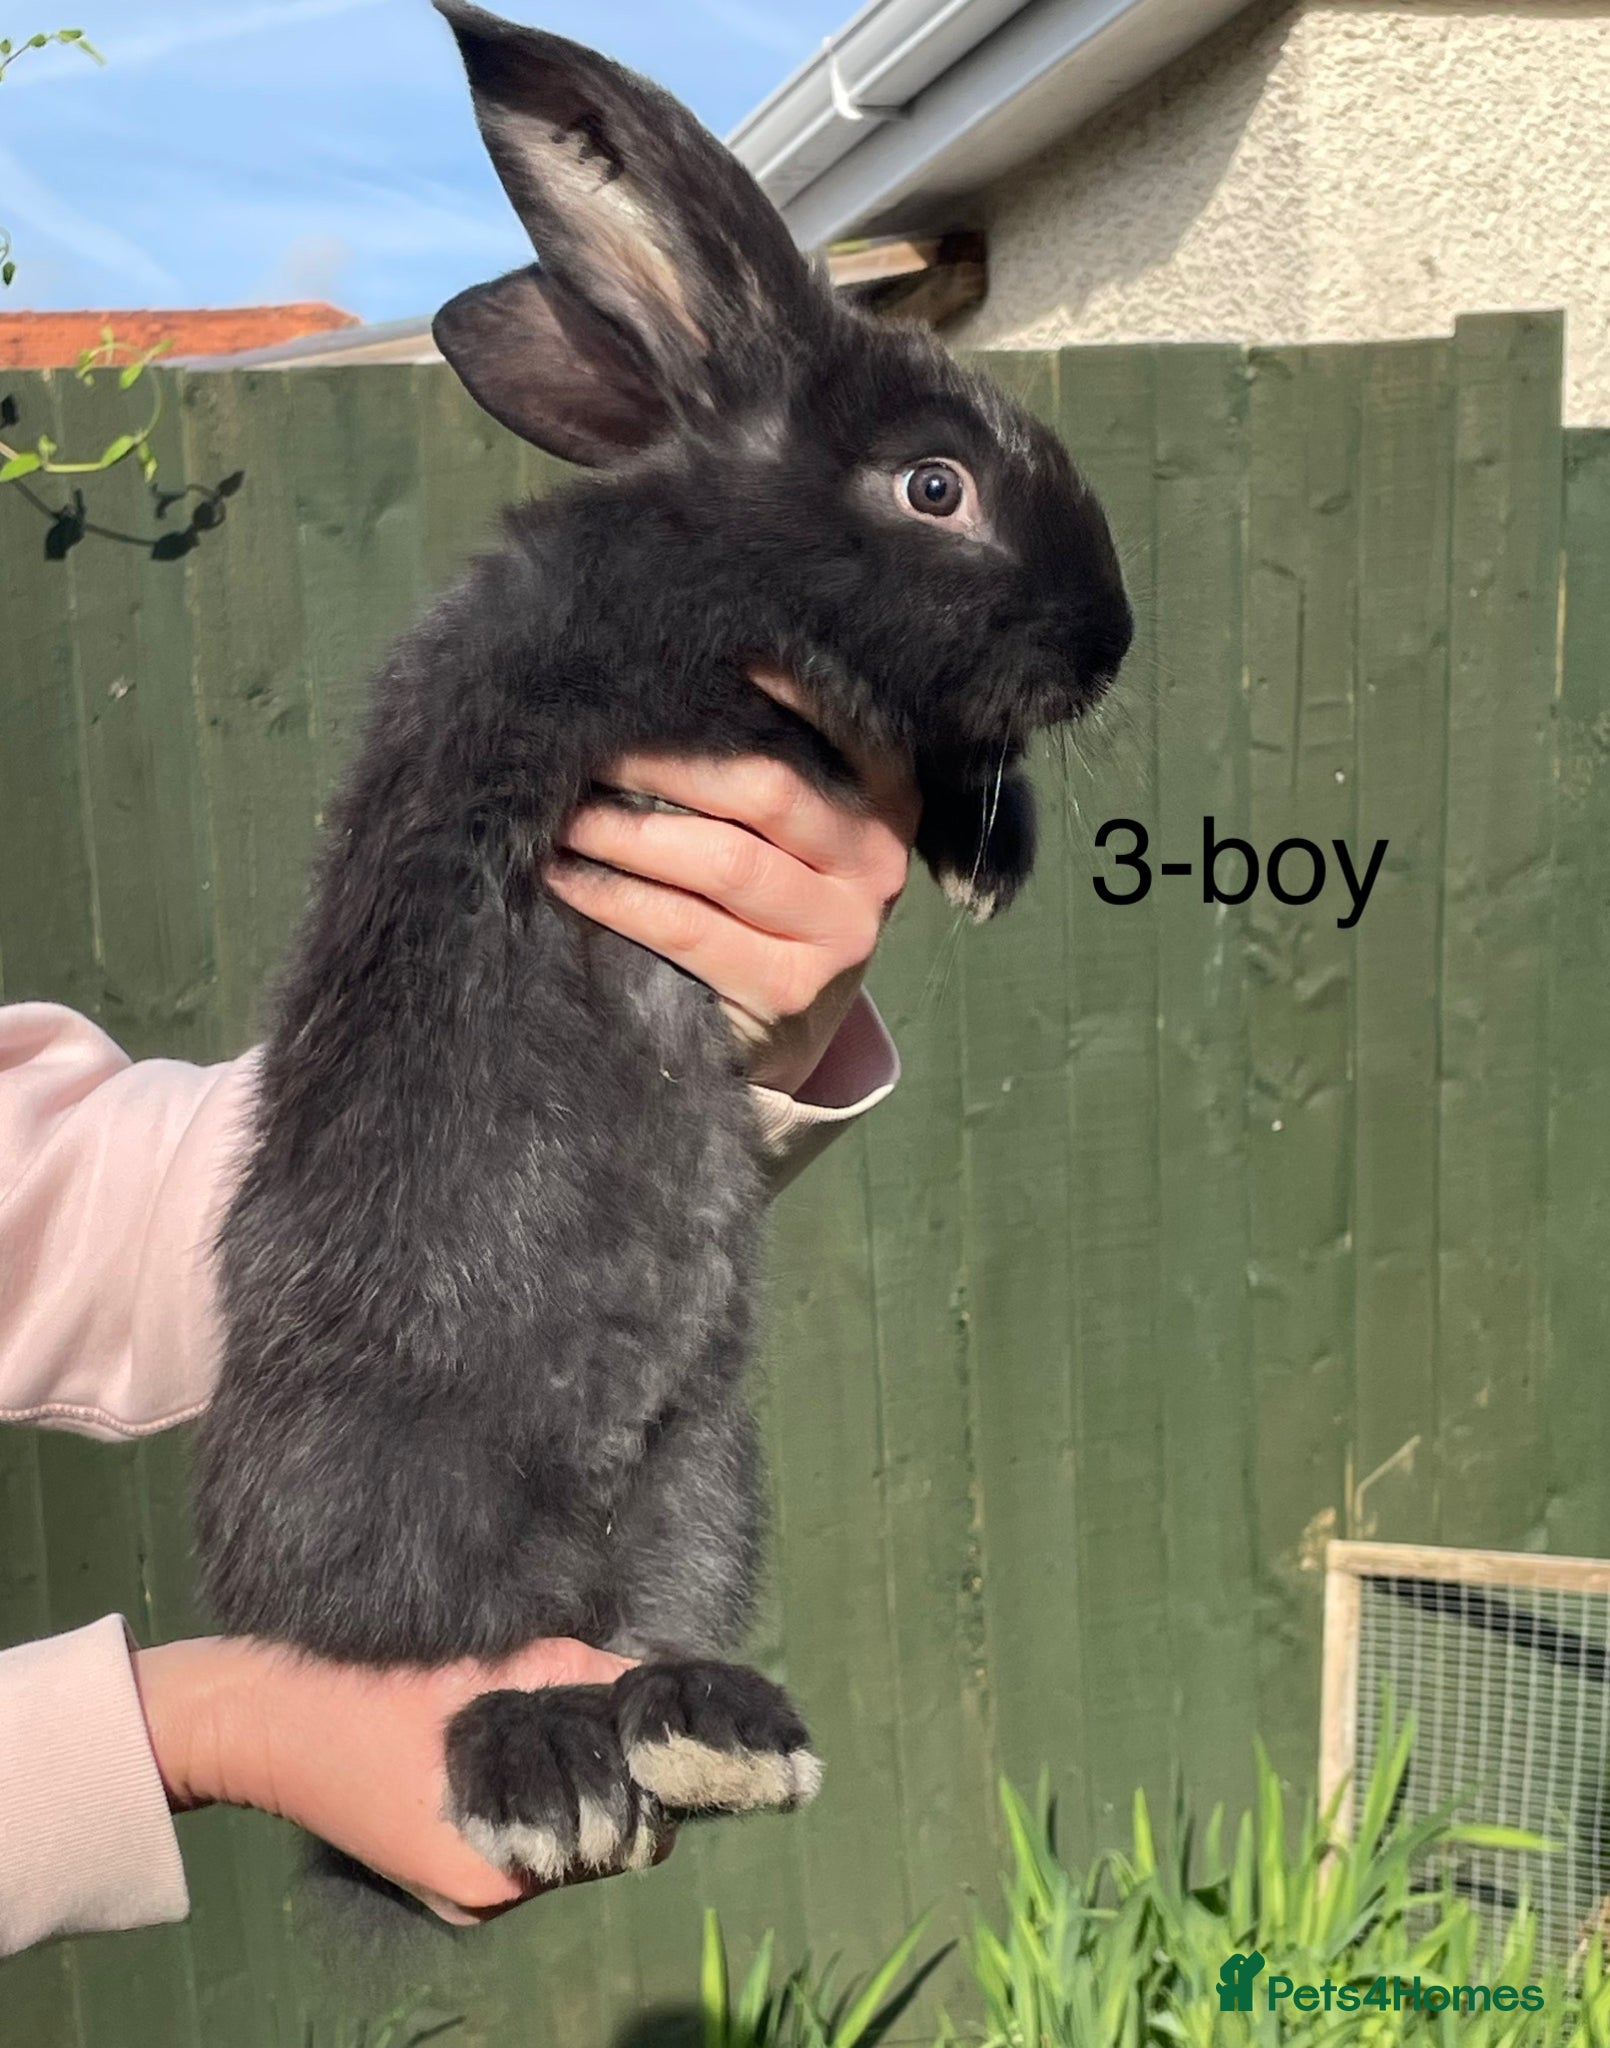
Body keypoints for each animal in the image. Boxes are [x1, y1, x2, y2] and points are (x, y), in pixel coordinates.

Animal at [194, 0, 1133, 1896]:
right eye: (935, 484)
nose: (1111, 638)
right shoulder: (676, 670)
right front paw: (982, 821)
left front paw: (991, 849)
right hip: (413, 1480)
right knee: (440, 1657)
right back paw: (540, 1775)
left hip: (705, 1474)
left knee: (634, 1639)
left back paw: (710, 1734)